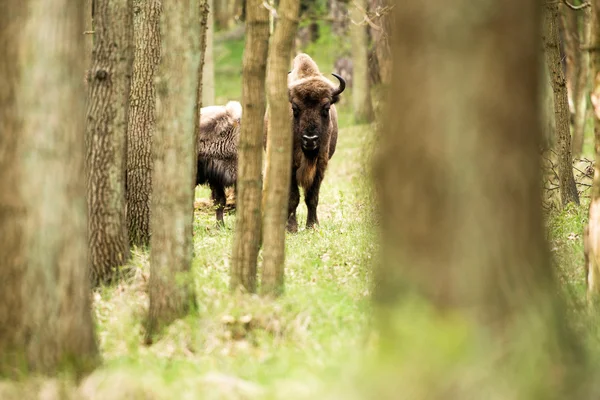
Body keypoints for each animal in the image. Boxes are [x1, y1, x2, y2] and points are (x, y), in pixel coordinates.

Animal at [278, 54, 344, 233]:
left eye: (326, 107)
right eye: (295, 108)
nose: (310, 139)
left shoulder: (320, 165)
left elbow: (312, 197)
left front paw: (313, 225)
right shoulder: (290, 166)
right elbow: (293, 197)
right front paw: (291, 227)